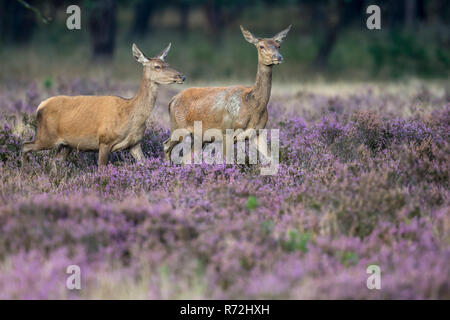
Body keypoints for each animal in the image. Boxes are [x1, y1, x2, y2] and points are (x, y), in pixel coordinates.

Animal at [22, 42, 185, 166]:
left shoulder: (135, 143)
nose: (181, 76)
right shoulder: (104, 141)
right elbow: (101, 168)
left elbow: (144, 163)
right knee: (25, 146)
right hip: (46, 136)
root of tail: (40, 106)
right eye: (157, 66)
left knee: (54, 161)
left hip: (65, 144)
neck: (130, 114)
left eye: (167, 63)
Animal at [163, 24, 290, 162]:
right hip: (178, 126)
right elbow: (226, 161)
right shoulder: (226, 131)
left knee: (185, 159)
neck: (252, 106)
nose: (278, 57)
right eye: (261, 46)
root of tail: (172, 100)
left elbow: (271, 158)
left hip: (198, 137)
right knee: (166, 145)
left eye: (278, 45)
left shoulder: (257, 132)